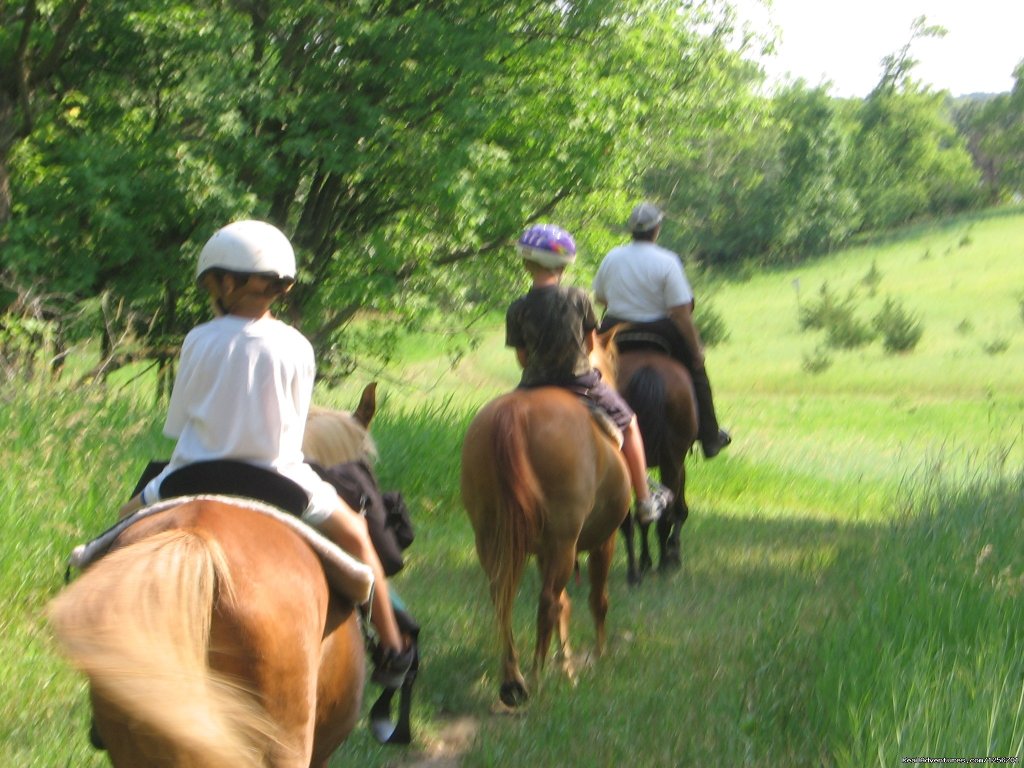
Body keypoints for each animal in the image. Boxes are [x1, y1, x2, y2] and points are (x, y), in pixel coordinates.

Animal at [458, 342, 630, 708]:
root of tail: (513, 414)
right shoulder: (602, 541)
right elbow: (597, 599)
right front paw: (598, 656)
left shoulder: (541, 551)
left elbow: (567, 604)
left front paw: (565, 663)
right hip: (562, 542)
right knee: (547, 601)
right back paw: (535, 678)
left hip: (491, 539)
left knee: (503, 598)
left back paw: (514, 680)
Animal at [610, 346, 700, 581]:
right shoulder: (678, 464)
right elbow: (677, 510)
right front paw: (673, 553)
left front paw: (648, 560)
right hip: (672, 462)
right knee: (665, 516)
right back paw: (663, 563)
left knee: (632, 519)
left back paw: (637, 571)